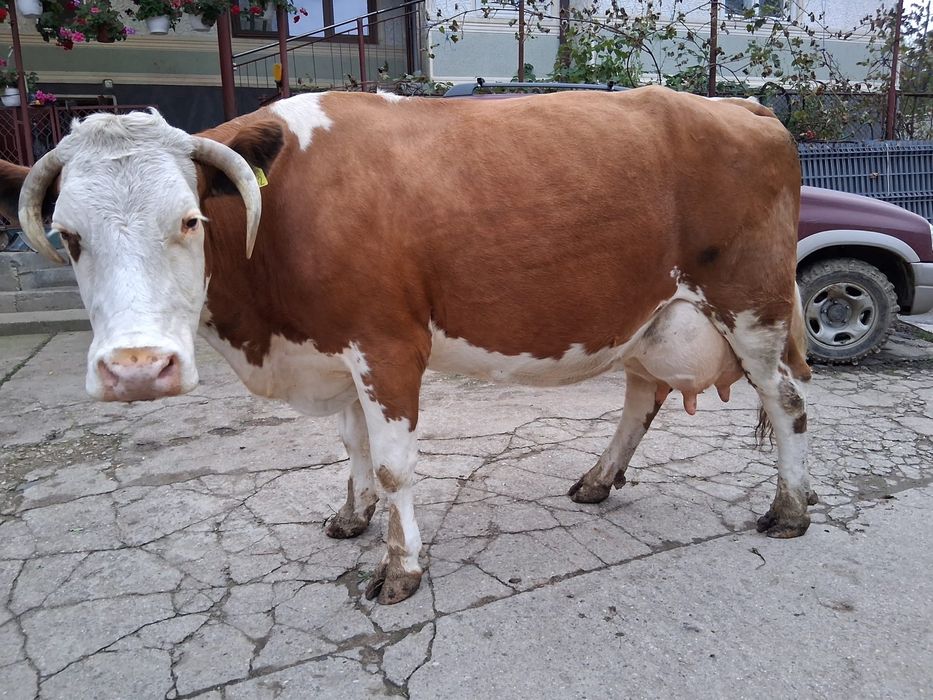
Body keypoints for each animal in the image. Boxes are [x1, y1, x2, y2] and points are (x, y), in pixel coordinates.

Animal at [6, 86, 813, 605]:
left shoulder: (387, 344)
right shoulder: (332, 349)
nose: (138, 369)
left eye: (189, 220)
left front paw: (400, 569)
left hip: (753, 306)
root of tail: (738, 106)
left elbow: (395, 465)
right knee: (642, 392)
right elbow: (353, 445)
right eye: (69, 236)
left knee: (788, 403)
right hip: (652, 312)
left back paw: (790, 510)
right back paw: (597, 479)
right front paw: (352, 516)